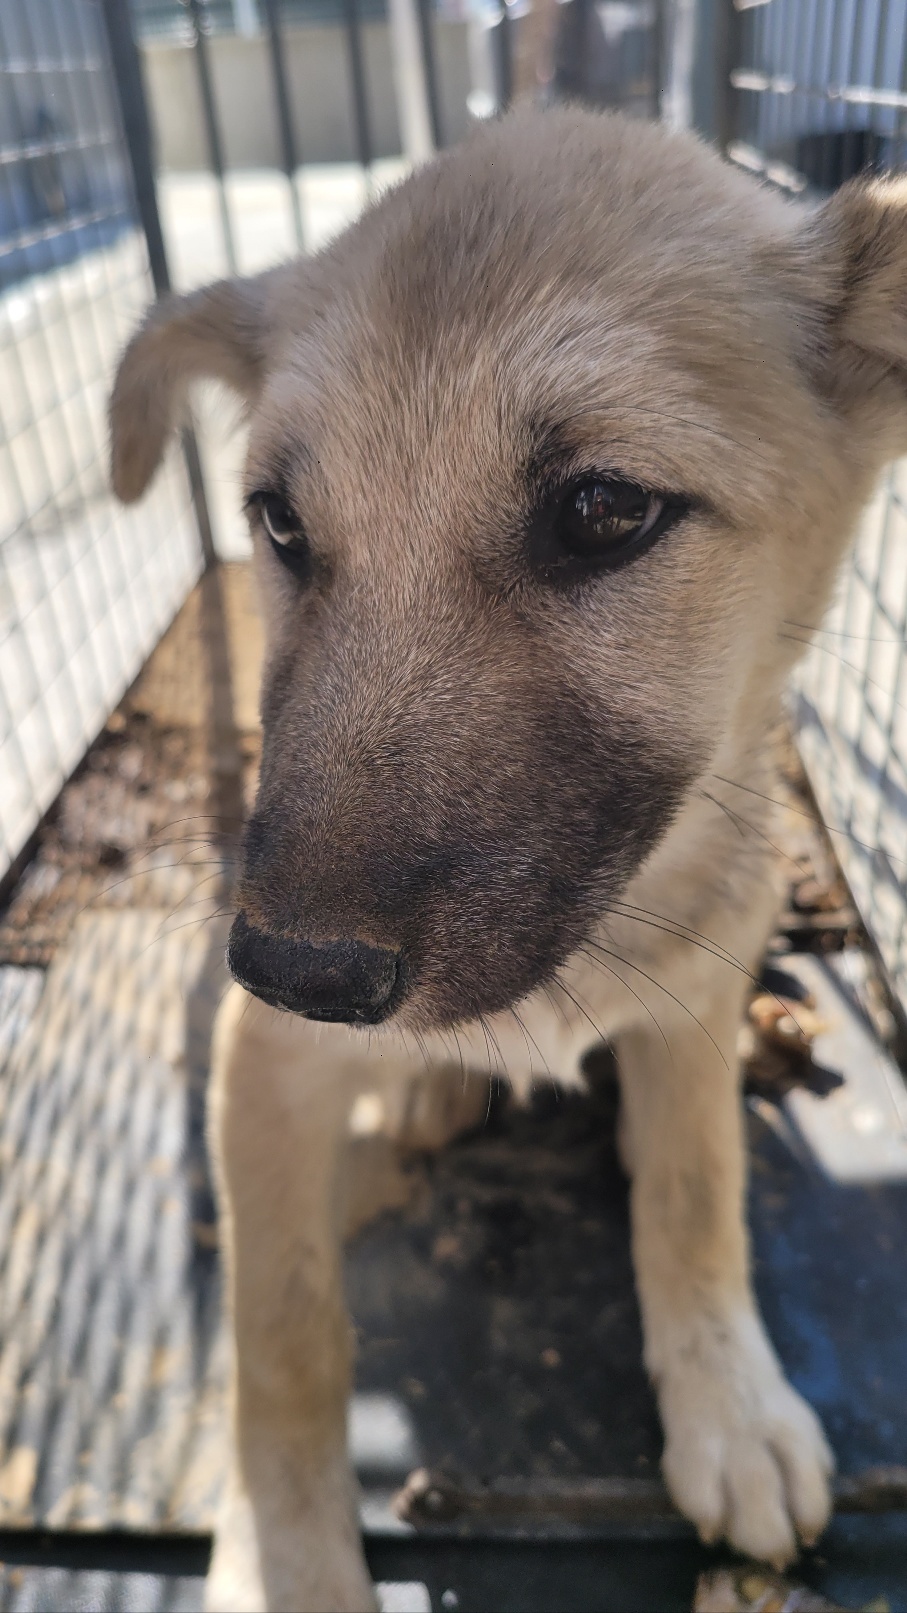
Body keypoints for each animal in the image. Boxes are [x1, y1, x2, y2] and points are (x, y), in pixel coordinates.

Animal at [111, 104, 903, 1613]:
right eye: (279, 522)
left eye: (601, 510)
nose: (292, 969)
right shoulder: (263, 1068)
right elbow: (283, 1337)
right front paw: (289, 1560)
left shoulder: (681, 1011)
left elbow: (695, 1193)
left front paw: (725, 1402)